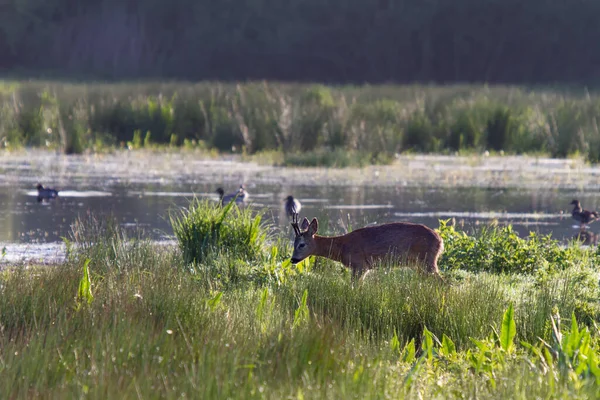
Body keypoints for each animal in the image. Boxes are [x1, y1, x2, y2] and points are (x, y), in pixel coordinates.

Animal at [290, 216, 446, 278]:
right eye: (293, 243)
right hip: (419, 265)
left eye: (301, 244)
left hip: (427, 261)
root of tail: (440, 241)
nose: (292, 259)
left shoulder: (359, 265)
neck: (342, 247)